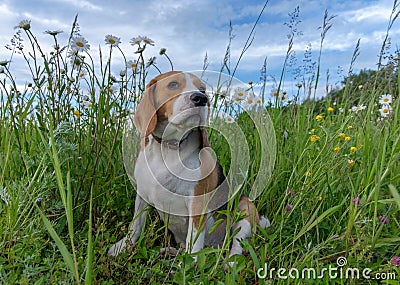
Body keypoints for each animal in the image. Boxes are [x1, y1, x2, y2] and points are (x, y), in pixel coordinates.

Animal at [108, 70, 268, 260]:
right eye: (173, 85)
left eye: (203, 90)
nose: (200, 98)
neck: (169, 146)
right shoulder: (142, 194)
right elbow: (136, 224)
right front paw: (123, 247)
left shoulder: (197, 202)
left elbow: (195, 237)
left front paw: (190, 262)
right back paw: (171, 251)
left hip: (245, 210)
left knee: (236, 245)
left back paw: (228, 262)